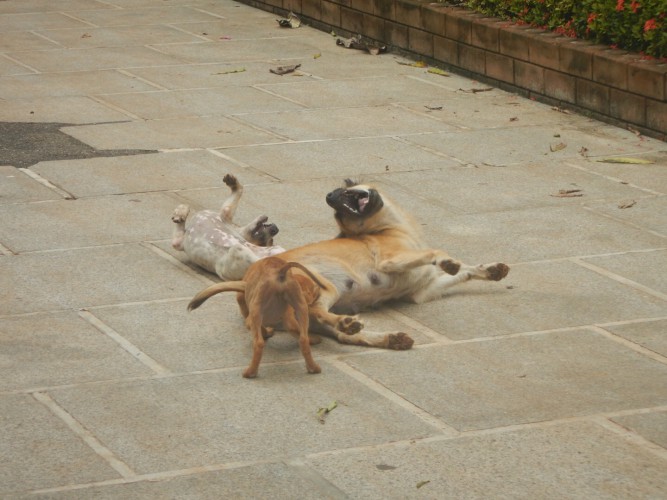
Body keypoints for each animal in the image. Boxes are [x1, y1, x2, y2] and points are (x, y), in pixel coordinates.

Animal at [188, 256, 326, 376]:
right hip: (301, 308)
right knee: (303, 339)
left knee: (259, 343)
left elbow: (260, 328)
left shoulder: (252, 317)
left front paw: (267, 332)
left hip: (256, 311)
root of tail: (280, 272)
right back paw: (313, 366)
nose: (318, 289)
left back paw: (250, 372)